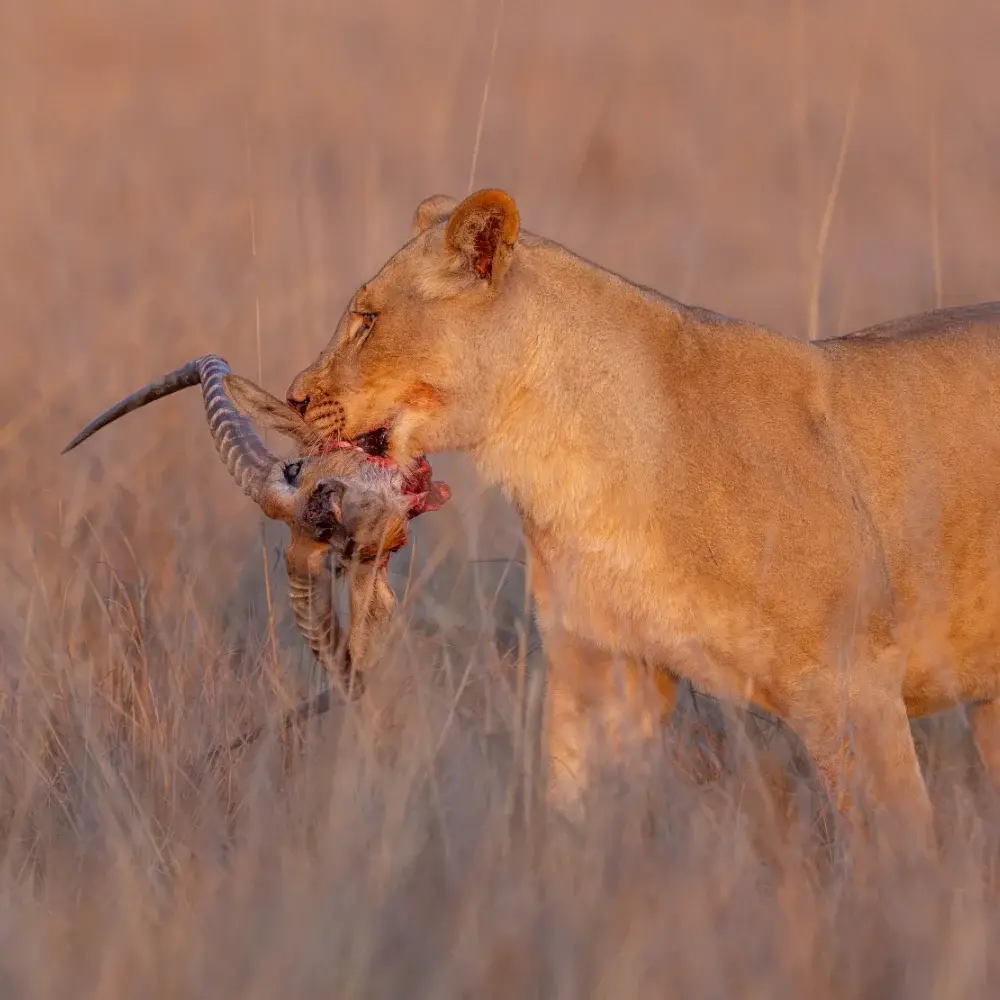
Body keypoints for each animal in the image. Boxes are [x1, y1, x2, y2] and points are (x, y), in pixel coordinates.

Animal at [284, 187, 1000, 843]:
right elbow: (575, 814)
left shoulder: (856, 678)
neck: (562, 462)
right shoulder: (601, 664)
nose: (293, 399)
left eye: (368, 319)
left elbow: (898, 844)